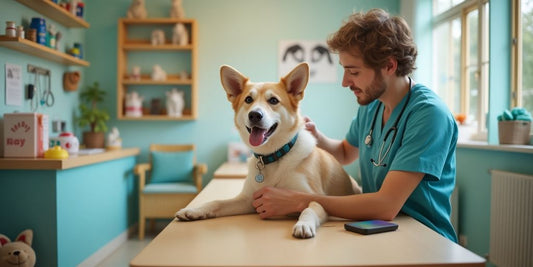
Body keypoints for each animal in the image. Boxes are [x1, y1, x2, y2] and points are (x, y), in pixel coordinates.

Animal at [176, 63, 362, 241]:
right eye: (248, 99)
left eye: (273, 100)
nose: (254, 115)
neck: (274, 156)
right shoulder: (249, 200)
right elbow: (217, 202)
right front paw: (194, 210)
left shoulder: (315, 198)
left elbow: (309, 209)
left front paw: (303, 224)